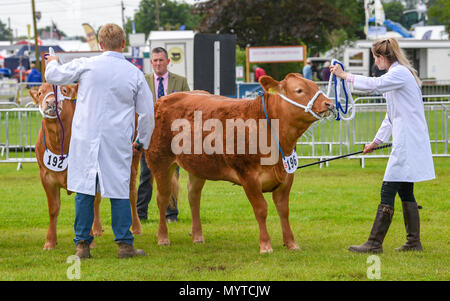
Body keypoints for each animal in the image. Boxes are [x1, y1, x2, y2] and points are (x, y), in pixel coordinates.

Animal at [146, 74, 336, 252]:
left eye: (314, 86)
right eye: (299, 90)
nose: (329, 104)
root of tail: (163, 99)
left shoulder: (287, 176)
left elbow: (284, 210)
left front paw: (291, 243)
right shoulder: (249, 177)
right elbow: (261, 209)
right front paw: (265, 245)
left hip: (198, 167)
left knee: (193, 197)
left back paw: (198, 236)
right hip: (160, 161)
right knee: (163, 198)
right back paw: (163, 238)